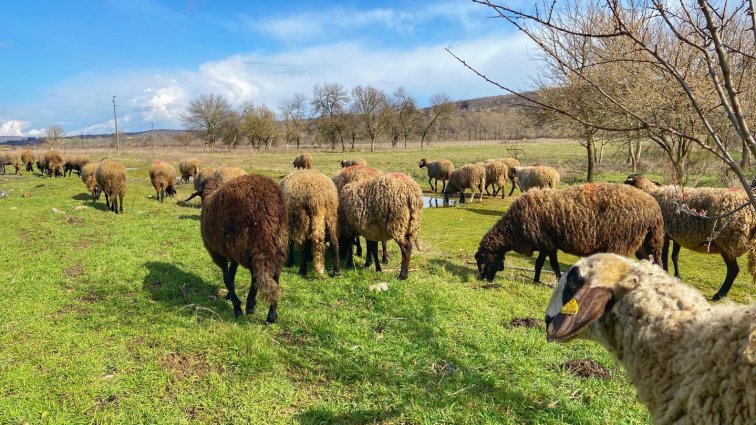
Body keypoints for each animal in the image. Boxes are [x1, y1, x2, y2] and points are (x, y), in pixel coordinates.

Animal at [199, 174, 288, 320]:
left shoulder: (218, 252)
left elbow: (227, 278)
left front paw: (236, 305)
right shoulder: (232, 253)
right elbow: (232, 273)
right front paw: (230, 296)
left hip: (247, 244)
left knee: (255, 275)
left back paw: (249, 305)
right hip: (278, 243)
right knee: (274, 276)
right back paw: (271, 314)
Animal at [476, 184, 664, 284]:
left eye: (483, 261)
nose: (483, 279)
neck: (513, 228)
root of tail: (654, 209)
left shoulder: (547, 243)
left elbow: (552, 265)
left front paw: (557, 280)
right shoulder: (546, 244)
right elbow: (539, 264)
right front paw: (536, 280)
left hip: (622, 241)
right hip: (646, 243)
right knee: (656, 263)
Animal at [624, 172, 756, 298]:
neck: (650, 192)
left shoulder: (664, 234)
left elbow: (665, 257)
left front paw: (666, 273)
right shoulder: (676, 236)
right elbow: (674, 256)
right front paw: (677, 277)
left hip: (727, 241)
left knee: (733, 270)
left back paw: (719, 294)